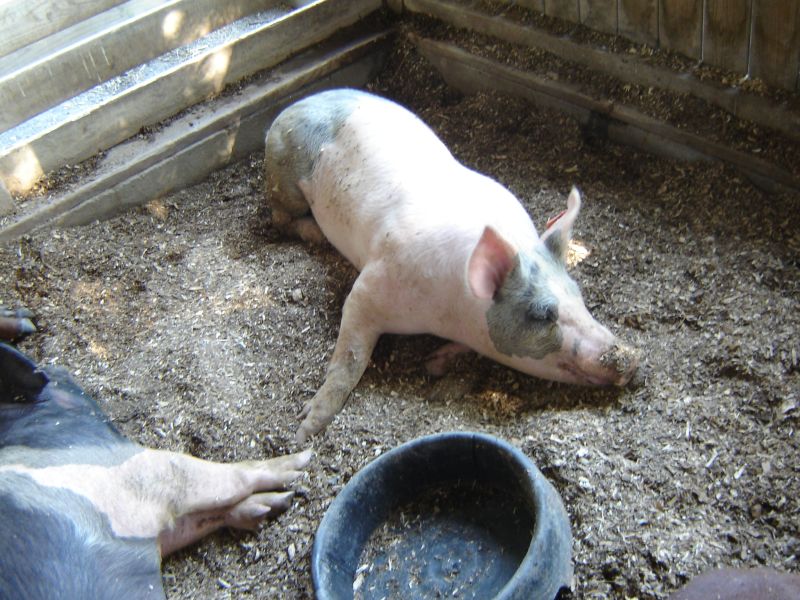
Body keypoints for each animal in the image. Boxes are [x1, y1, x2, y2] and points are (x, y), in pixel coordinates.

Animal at [0, 342, 310, 600]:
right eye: (59, 374)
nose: (59, 368)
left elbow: (197, 520)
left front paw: (272, 505)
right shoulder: (143, 472)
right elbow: (231, 477)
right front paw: (301, 464)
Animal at [266, 90, 640, 446]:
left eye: (579, 296)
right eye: (541, 314)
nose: (631, 359)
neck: (455, 315)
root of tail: (297, 104)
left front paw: (434, 363)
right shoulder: (370, 289)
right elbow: (351, 358)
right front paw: (304, 430)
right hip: (285, 174)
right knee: (280, 218)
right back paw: (314, 233)